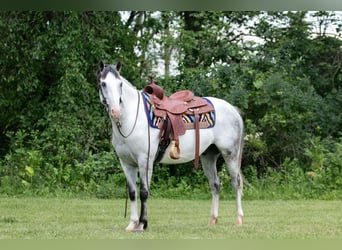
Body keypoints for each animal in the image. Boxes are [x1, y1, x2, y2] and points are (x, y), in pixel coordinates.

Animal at [97, 60, 244, 232]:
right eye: (103, 83)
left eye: (120, 83)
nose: (115, 111)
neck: (133, 117)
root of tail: (233, 109)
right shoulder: (126, 163)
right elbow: (133, 193)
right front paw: (132, 224)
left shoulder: (145, 160)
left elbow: (144, 192)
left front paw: (142, 224)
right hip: (208, 155)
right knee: (215, 185)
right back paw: (212, 220)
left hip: (230, 154)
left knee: (236, 183)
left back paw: (239, 219)